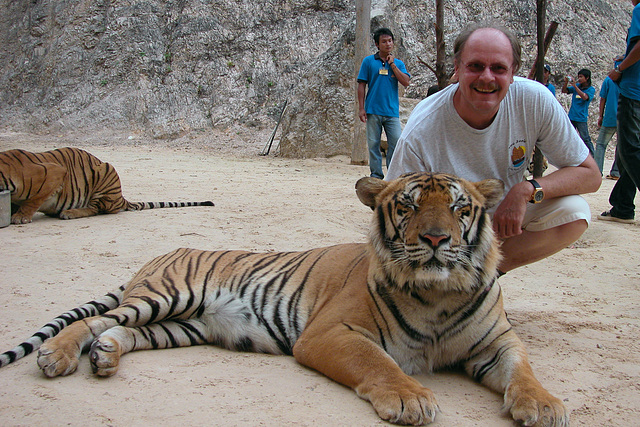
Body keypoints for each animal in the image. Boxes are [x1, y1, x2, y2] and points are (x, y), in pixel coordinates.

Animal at [0, 147, 215, 224]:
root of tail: (121, 198)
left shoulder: (56, 171)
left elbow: (33, 199)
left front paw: (20, 217)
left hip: (106, 170)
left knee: (96, 209)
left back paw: (70, 212)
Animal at [2, 173, 568, 424]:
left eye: (457, 208)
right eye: (407, 207)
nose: (435, 239)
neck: (439, 294)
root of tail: (163, 252)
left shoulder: (497, 343)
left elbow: (524, 371)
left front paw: (545, 405)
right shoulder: (331, 332)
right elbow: (380, 364)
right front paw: (411, 398)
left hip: (184, 325)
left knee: (119, 331)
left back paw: (105, 359)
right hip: (168, 295)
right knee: (92, 322)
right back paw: (57, 356)